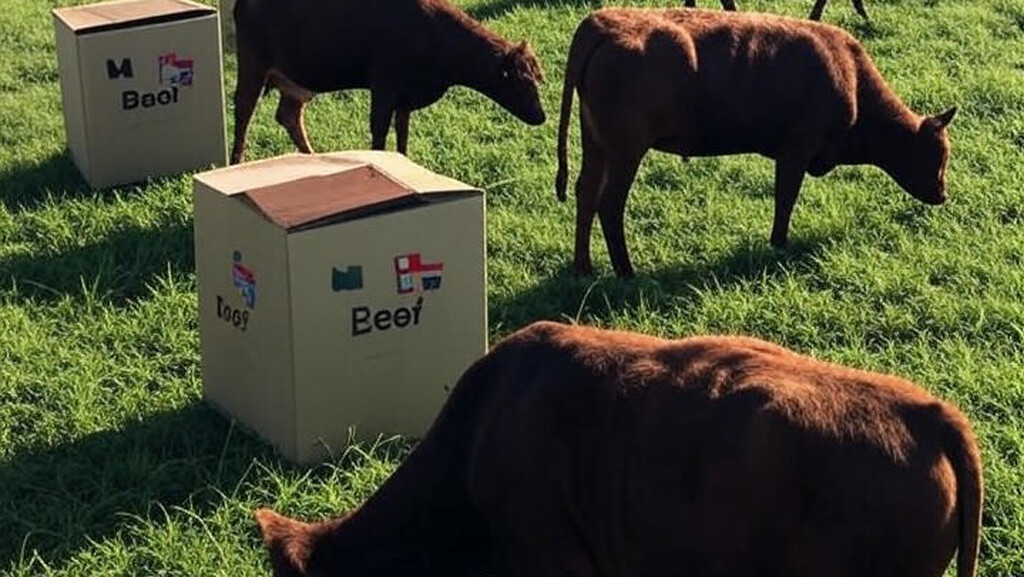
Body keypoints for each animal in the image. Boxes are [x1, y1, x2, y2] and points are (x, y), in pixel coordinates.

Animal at [230, 0, 546, 164]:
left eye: (536, 81)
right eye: (522, 84)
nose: (541, 117)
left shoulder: (405, 96)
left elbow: (402, 132)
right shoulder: (383, 85)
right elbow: (379, 131)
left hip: (296, 80)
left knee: (288, 115)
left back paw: (313, 157)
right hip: (253, 63)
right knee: (244, 112)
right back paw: (236, 163)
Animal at [554, 9, 957, 277]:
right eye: (937, 155)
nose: (942, 195)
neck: (851, 78)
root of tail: (602, 24)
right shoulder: (796, 148)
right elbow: (785, 197)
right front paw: (779, 244)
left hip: (596, 143)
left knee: (586, 193)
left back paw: (583, 268)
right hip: (626, 149)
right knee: (609, 204)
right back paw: (626, 271)